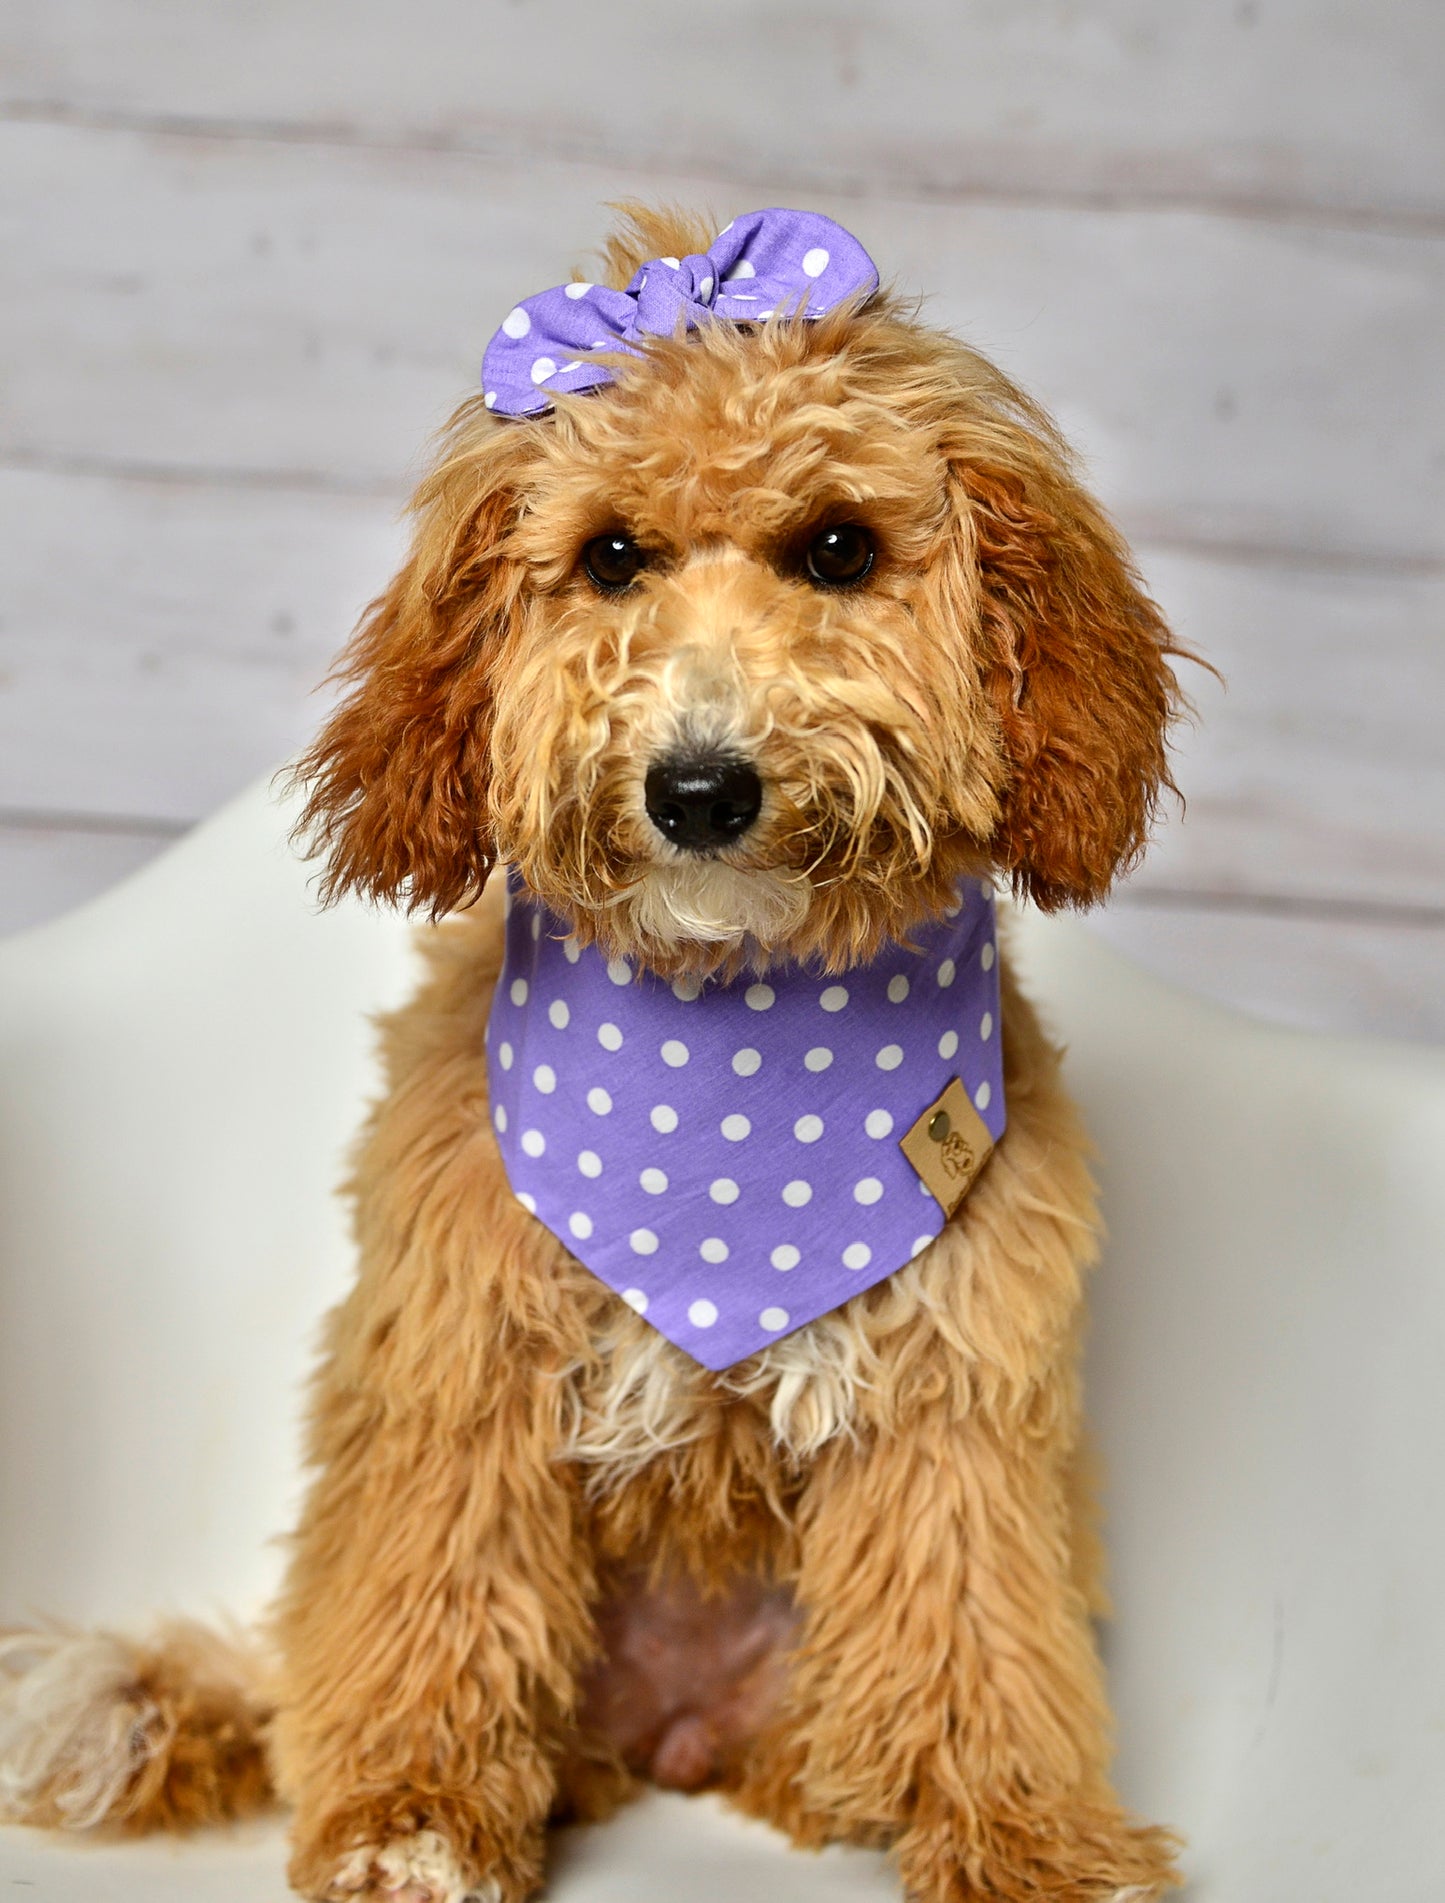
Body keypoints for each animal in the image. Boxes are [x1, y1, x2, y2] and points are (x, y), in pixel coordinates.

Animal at [2, 204, 1187, 1903]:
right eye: (611, 556)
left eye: (839, 548)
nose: (698, 787)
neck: (736, 1062)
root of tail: (675, 1741)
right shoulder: (462, 1361)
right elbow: (438, 1598)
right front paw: (416, 1819)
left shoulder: (955, 1397)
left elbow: (978, 1626)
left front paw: (1026, 1839)